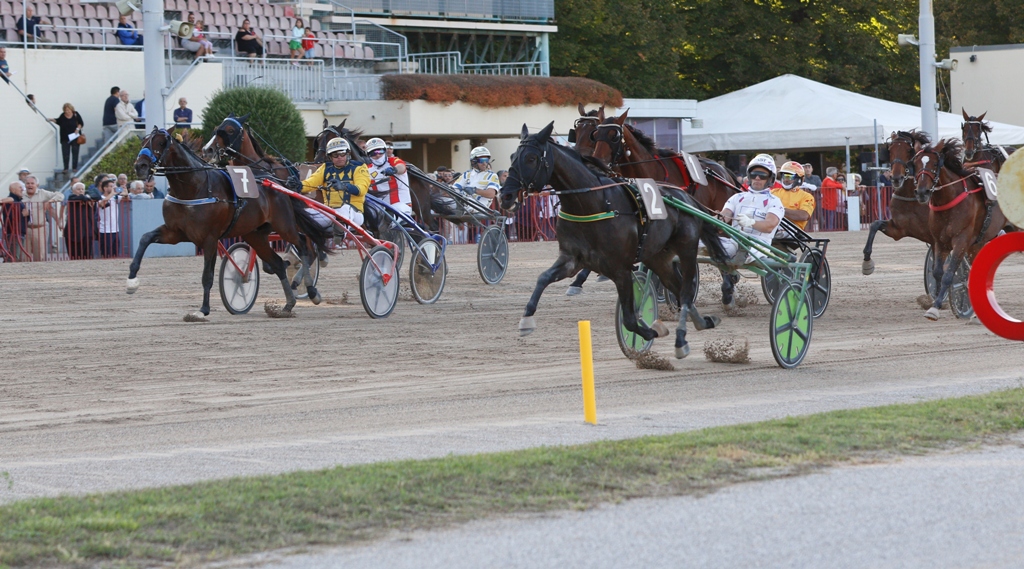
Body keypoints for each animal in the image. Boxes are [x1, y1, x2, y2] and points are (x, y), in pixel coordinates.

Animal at [125, 126, 329, 317]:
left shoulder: (209, 238)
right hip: (254, 234)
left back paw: (311, 291)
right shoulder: (175, 232)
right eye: (143, 140)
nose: (140, 166)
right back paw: (288, 305)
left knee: (303, 246)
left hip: (284, 225)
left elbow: (207, 276)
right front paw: (132, 281)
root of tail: (279, 184)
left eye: (161, 143)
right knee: (279, 264)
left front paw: (203, 310)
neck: (194, 188)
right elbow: (145, 238)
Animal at [499, 122, 733, 358]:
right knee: (676, 286)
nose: (505, 196)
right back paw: (703, 322)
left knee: (685, 292)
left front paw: (649, 332)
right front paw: (526, 320)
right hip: (658, 257)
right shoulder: (571, 259)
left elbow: (629, 319)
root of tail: (687, 198)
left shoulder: (620, 269)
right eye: (512, 156)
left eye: (531, 158)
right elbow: (543, 278)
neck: (591, 203)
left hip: (686, 247)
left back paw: (682, 338)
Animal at [860, 129, 933, 280]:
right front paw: (867, 262)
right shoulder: (898, 230)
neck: (911, 197)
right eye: (890, 149)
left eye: (908, 150)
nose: (896, 178)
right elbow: (875, 224)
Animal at [909, 139, 1011, 319]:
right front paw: (935, 303)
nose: (922, 192)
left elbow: (949, 275)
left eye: (934, 164)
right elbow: (938, 273)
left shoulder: (961, 241)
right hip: (977, 244)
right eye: (915, 163)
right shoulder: (940, 242)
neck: (949, 199)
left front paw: (936, 308)